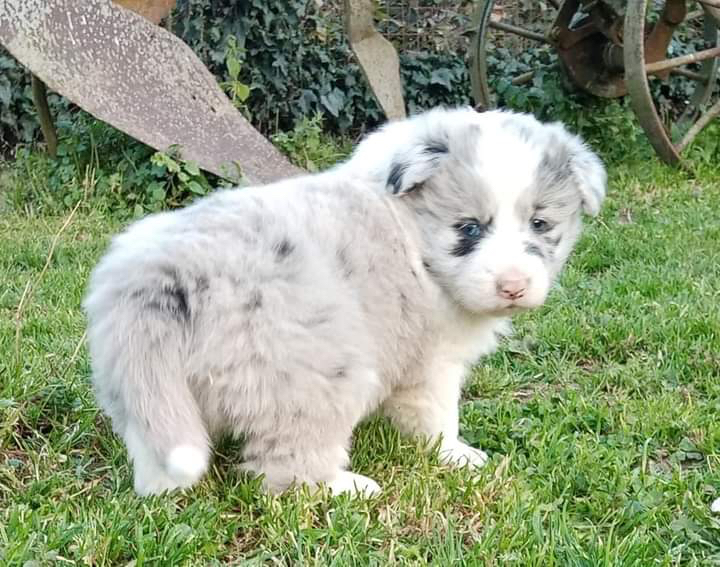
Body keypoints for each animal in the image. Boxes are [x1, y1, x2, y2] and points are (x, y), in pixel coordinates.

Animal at [81, 107, 604, 496]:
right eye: (469, 229)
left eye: (540, 224)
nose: (513, 286)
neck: (412, 234)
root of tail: (164, 275)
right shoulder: (431, 363)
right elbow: (440, 417)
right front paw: (459, 456)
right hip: (317, 377)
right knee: (285, 466)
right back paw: (346, 487)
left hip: (148, 391)